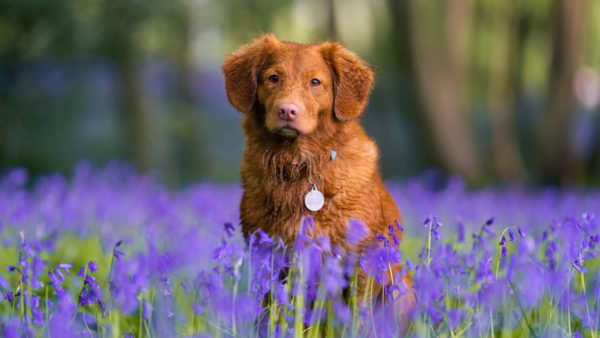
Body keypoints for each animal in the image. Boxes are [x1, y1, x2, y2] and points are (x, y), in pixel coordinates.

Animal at [220, 33, 412, 324]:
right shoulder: (268, 255)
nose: (287, 111)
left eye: (315, 82)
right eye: (273, 78)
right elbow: (273, 315)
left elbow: (357, 317)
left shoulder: (360, 260)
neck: (298, 166)